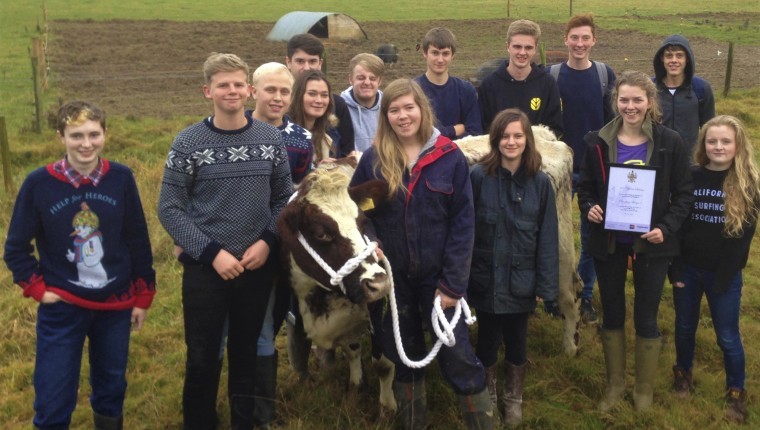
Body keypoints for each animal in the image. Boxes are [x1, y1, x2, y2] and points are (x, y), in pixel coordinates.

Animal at [278, 161, 398, 414]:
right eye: (321, 233)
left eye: (362, 222)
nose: (379, 283)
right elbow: (352, 350)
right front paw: (356, 385)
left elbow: (383, 363)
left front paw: (387, 407)